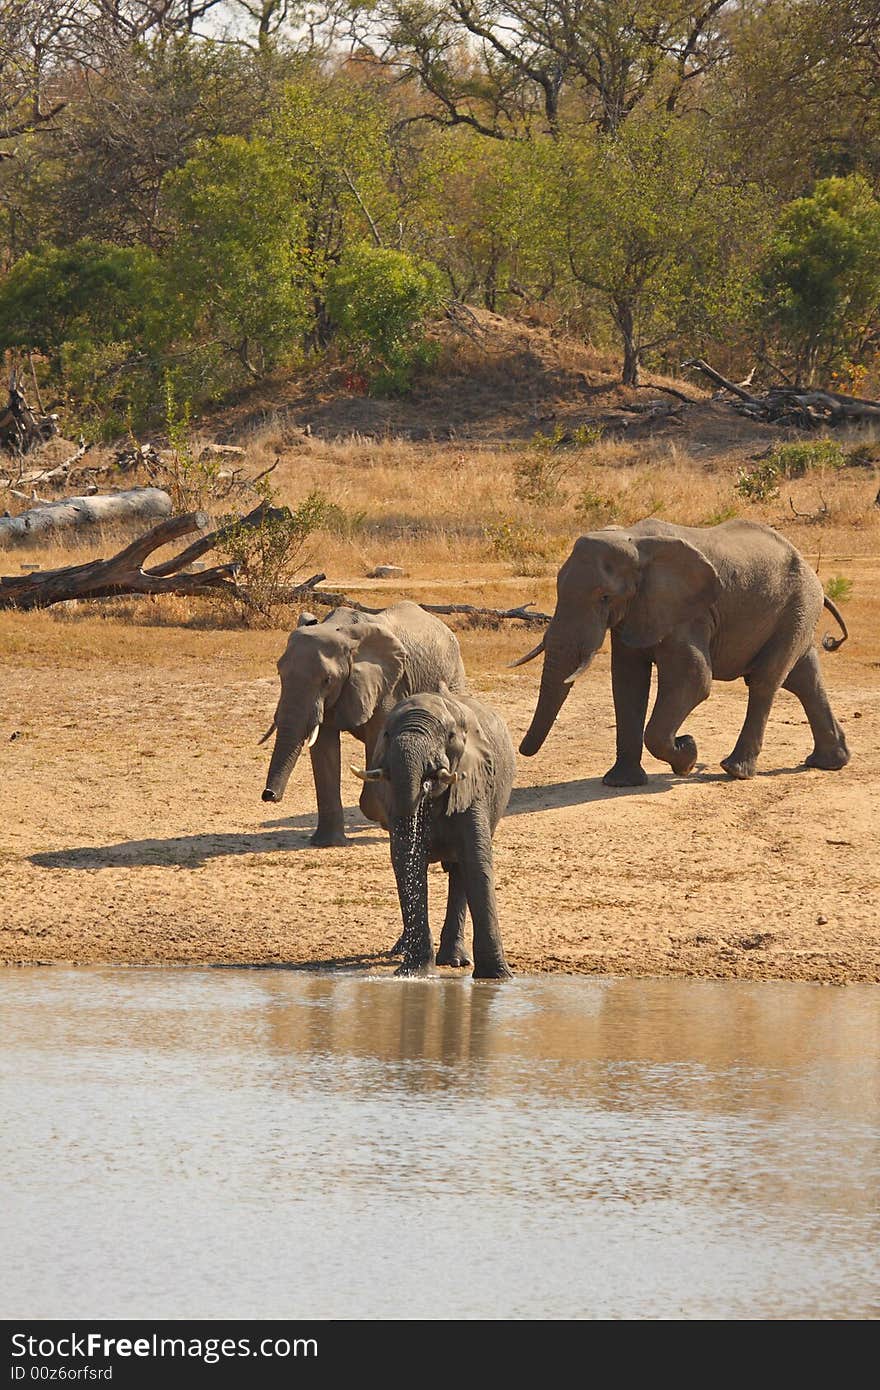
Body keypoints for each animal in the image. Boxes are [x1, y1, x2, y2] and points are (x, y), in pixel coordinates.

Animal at [261, 600, 467, 845]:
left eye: (327, 679)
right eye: (279, 672)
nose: (269, 795)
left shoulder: (388, 687)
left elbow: (377, 740)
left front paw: (388, 820)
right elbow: (323, 749)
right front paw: (327, 843)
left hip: (453, 676)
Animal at [351, 692, 514, 978]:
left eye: (449, 736)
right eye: (386, 734)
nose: (425, 782)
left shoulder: (473, 784)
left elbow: (477, 862)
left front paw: (496, 977)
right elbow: (408, 862)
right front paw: (414, 973)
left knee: (460, 871)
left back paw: (454, 961)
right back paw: (405, 951)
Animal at [511, 519, 845, 783]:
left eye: (605, 597)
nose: (520, 751)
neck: (632, 538)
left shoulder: (687, 612)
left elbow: (694, 679)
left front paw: (687, 755)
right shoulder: (637, 609)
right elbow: (627, 682)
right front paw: (621, 783)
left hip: (797, 605)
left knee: (766, 681)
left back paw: (735, 770)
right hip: (796, 612)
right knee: (804, 679)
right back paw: (830, 762)